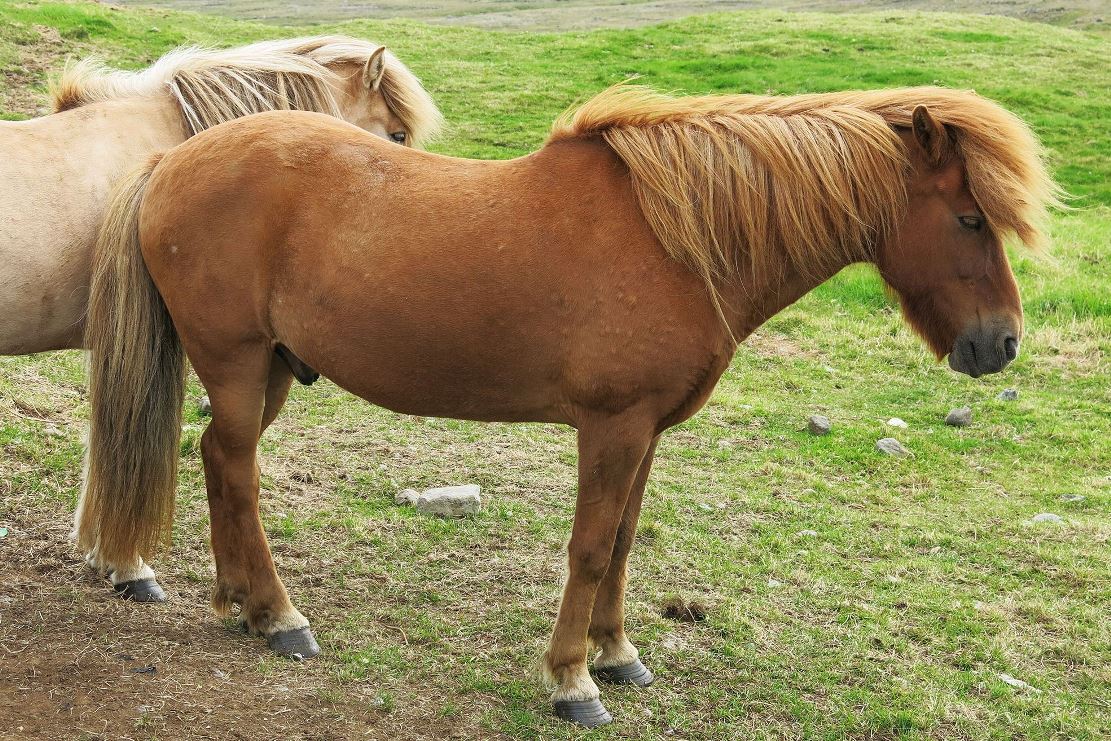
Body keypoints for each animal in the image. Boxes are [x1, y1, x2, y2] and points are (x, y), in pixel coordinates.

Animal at [80, 85, 1057, 724]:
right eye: (969, 218)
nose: (1000, 343)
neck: (676, 239)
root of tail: (173, 159)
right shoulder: (611, 427)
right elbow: (588, 548)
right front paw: (571, 680)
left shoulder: (647, 431)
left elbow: (621, 542)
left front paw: (618, 655)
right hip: (240, 365)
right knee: (237, 472)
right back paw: (281, 615)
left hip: (274, 369)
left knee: (219, 462)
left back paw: (241, 603)